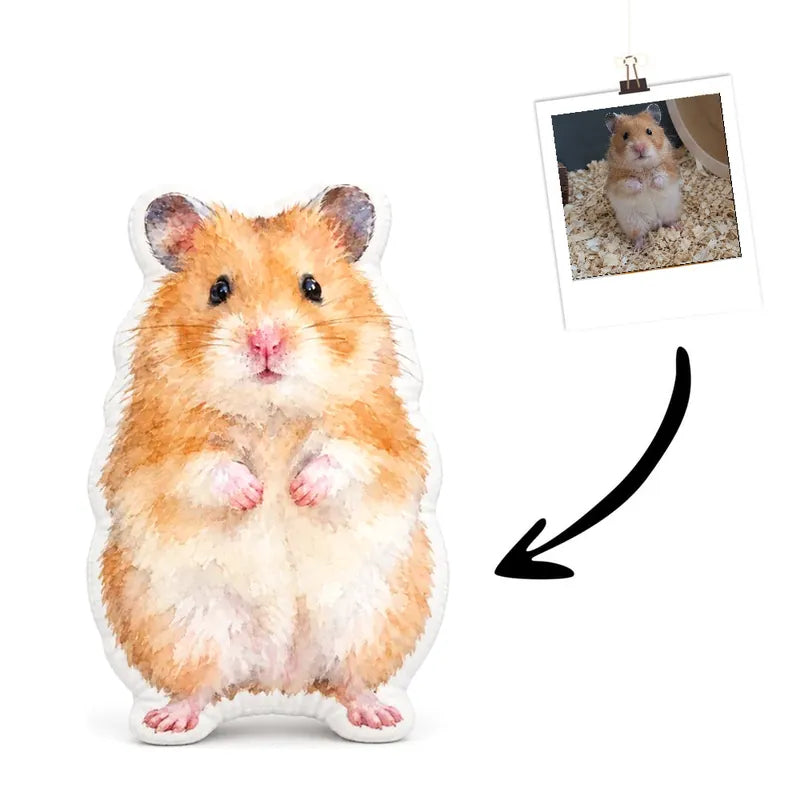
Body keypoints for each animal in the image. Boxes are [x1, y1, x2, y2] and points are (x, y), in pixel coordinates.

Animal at [99, 186, 433, 735]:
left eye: (312, 287)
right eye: (218, 289)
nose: (266, 341)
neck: (271, 412)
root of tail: (280, 685)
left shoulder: (380, 435)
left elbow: (346, 458)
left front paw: (297, 491)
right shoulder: (158, 448)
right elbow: (203, 468)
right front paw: (255, 494)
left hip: (371, 622)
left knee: (348, 679)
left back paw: (377, 715)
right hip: (180, 629)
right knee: (200, 687)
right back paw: (169, 720)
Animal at [605, 102, 681, 250]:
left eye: (649, 131)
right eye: (625, 135)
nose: (639, 147)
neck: (643, 168)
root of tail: (655, 223)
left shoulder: (670, 171)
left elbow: (661, 178)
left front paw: (650, 184)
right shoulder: (617, 182)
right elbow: (629, 183)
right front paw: (642, 186)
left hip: (670, 211)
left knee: (669, 222)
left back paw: (677, 227)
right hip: (633, 223)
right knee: (639, 236)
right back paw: (638, 248)